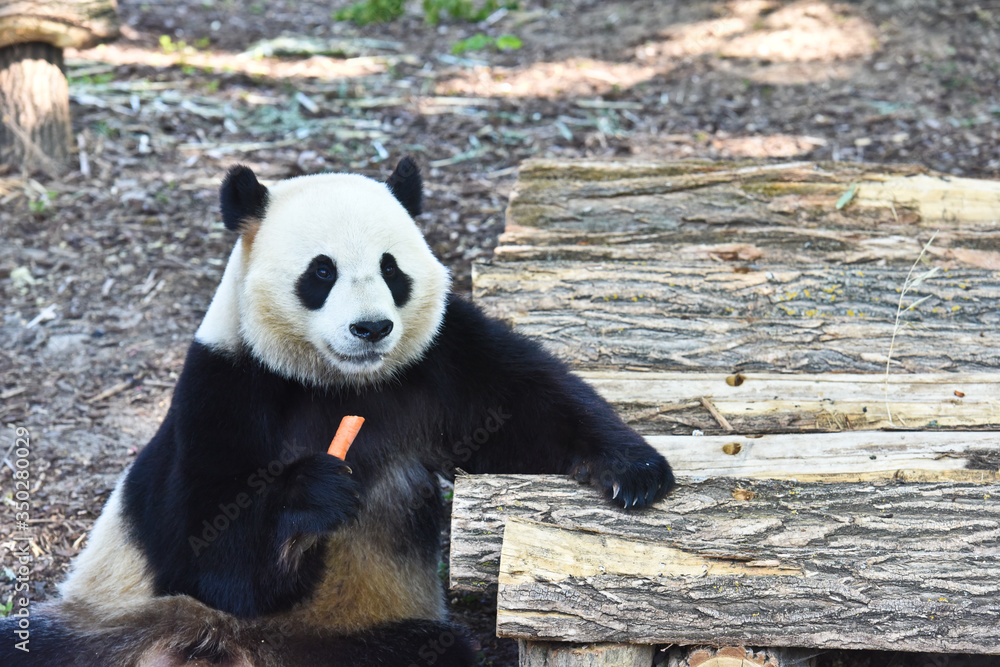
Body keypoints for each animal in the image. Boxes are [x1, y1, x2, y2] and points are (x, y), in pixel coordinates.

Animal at [1, 158, 674, 666]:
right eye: (320, 272)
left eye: (391, 268)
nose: (371, 328)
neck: (339, 381)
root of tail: (225, 651)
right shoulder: (226, 384)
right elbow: (204, 547)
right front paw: (313, 496)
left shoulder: (440, 358)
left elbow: (526, 407)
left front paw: (635, 473)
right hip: (120, 620)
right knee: (38, 645)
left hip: (346, 640)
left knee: (430, 651)